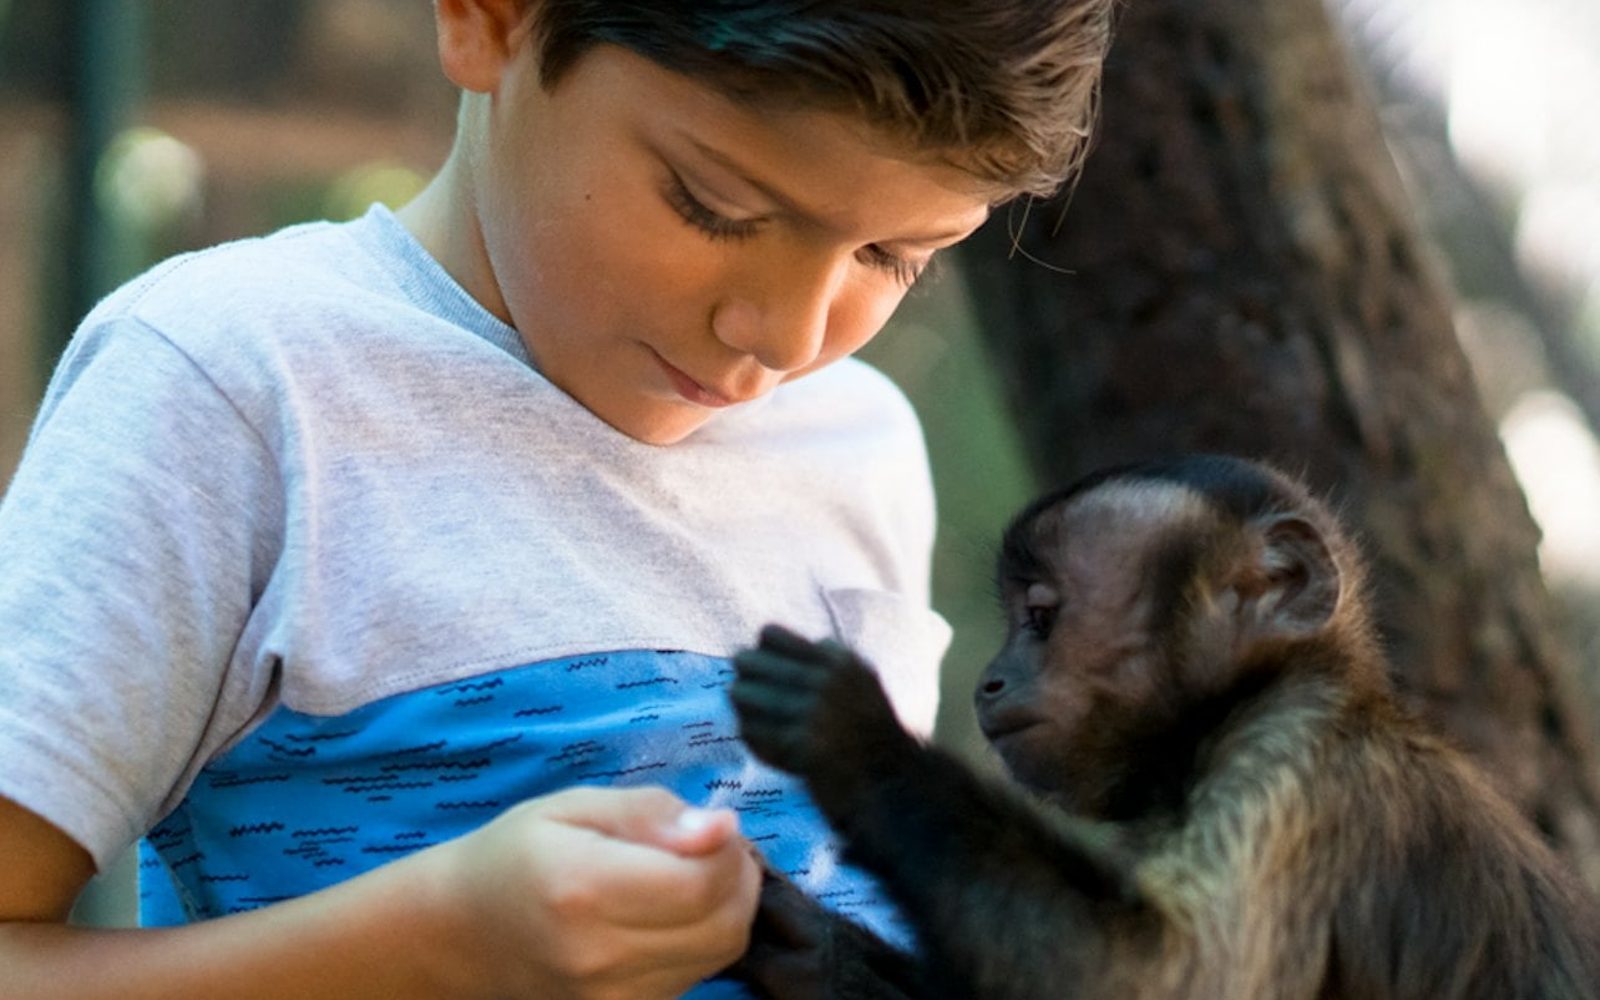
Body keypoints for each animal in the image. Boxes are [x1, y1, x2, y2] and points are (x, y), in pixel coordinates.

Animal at [727, 454, 1600, 1000]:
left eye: (1040, 617)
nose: (988, 681)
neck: (1248, 699)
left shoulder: (1290, 766)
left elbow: (1157, 977)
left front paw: (852, 734)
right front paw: (832, 963)